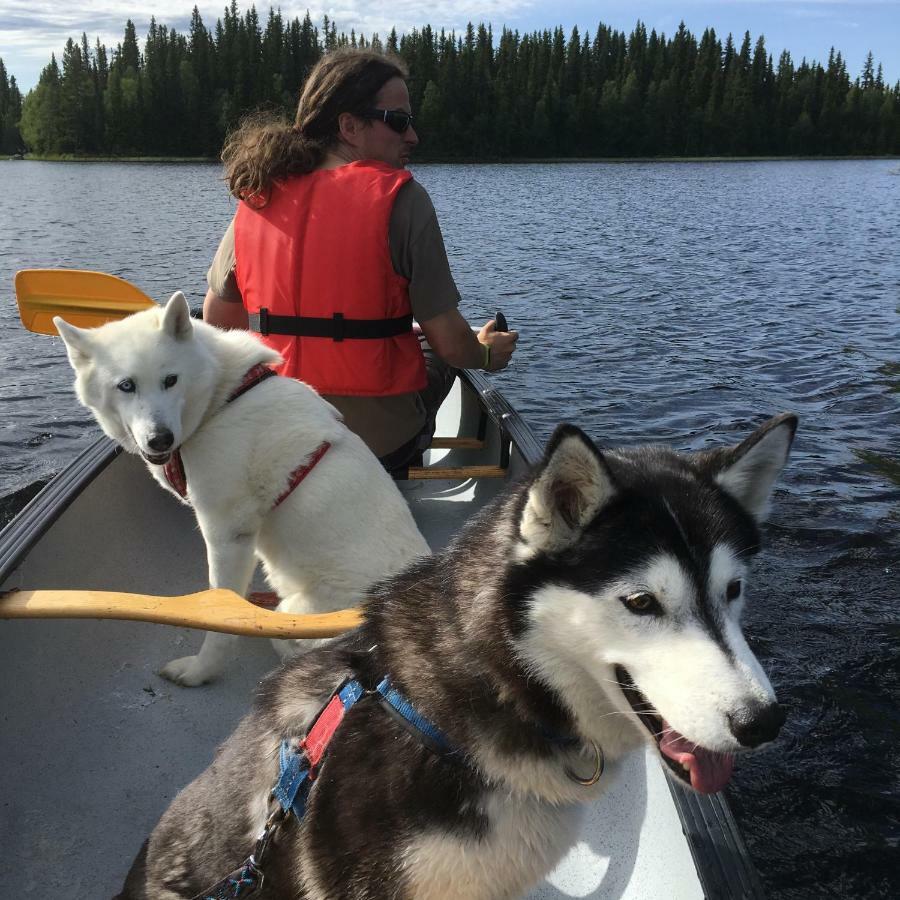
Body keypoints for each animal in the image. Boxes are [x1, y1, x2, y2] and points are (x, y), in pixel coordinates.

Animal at [55, 292, 428, 684]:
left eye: (171, 380)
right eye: (126, 385)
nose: (160, 440)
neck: (220, 401)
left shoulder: (227, 534)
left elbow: (221, 616)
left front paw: (201, 670)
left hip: (299, 613)